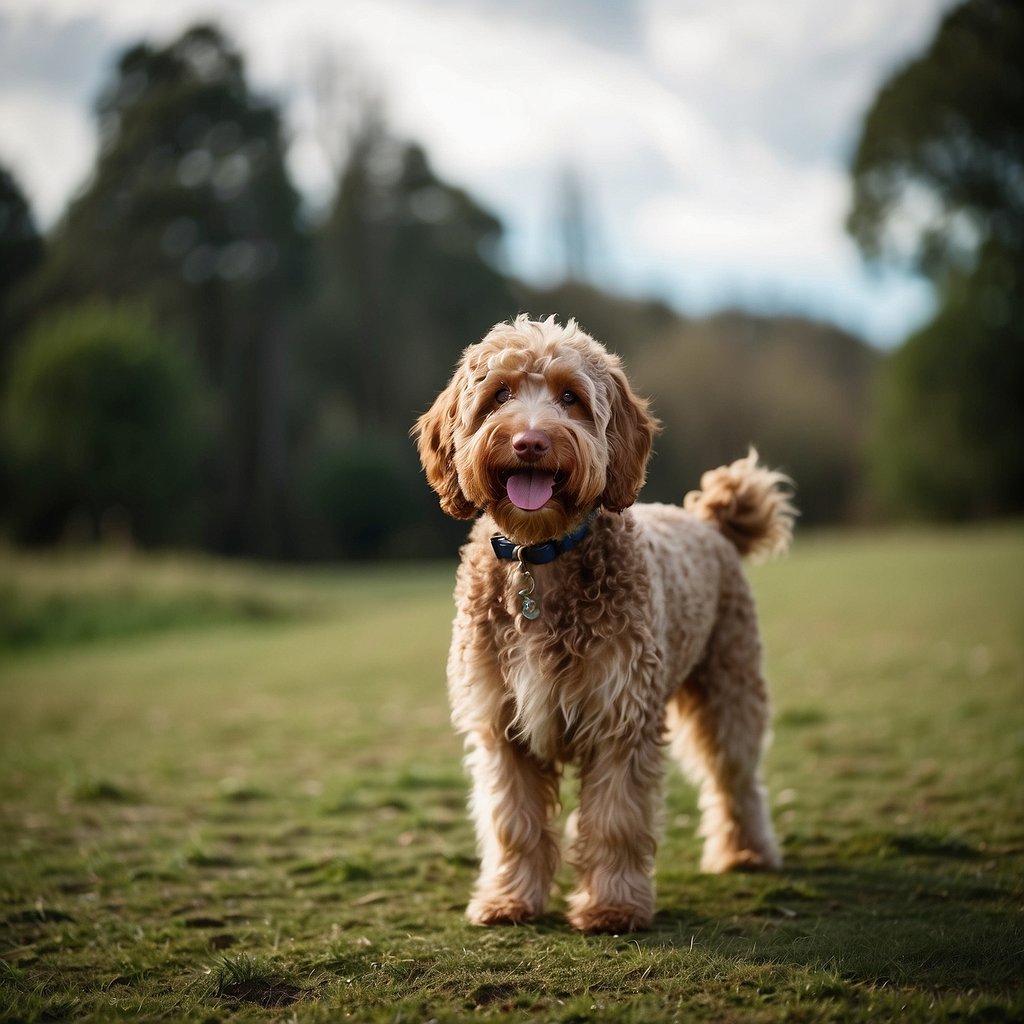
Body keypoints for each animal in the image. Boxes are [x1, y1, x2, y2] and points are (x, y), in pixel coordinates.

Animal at [411, 315, 794, 933]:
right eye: (500, 395)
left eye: (570, 397)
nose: (530, 442)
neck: (539, 556)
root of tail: (708, 522)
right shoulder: (501, 725)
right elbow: (512, 824)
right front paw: (508, 899)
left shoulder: (621, 716)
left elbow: (616, 821)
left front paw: (613, 906)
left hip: (730, 689)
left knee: (735, 777)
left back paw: (746, 852)